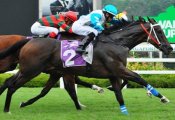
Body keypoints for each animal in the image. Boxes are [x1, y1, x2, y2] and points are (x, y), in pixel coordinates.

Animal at [0, 17, 172, 114]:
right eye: (159, 31)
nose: (169, 48)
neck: (116, 42)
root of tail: (29, 40)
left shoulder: (113, 73)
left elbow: (119, 92)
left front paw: (123, 110)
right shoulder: (118, 69)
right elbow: (139, 78)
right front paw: (162, 97)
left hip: (37, 70)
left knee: (12, 83)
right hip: (31, 71)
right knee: (12, 86)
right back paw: (7, 110)